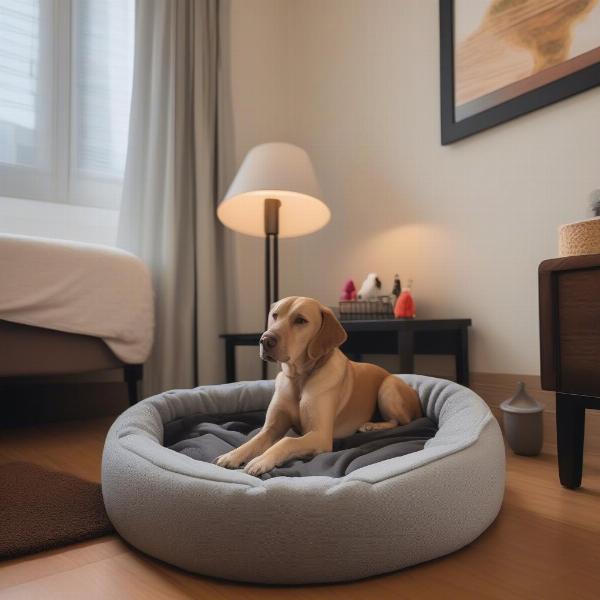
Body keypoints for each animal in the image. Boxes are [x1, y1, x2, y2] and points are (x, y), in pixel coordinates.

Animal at [217, 298, 422, 476]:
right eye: (275, 315)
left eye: (300, 320)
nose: (265, 340)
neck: (298, 379)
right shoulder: (271, 428)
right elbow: (253, 440)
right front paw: (232, 455)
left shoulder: (320, 435)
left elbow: (287, 441)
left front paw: (262, 460)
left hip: (388, 387)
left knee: (401, 421)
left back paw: (372, 425)